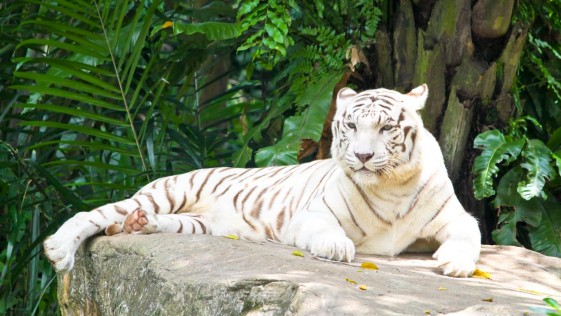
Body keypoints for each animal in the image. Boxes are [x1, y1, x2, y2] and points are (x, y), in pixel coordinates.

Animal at [44, 84, 482, 276]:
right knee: (95, 214)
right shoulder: (312, 213)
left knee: (141, 222)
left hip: (197, 224)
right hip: (167, 192)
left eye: (386, 127)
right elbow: (327, 230)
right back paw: (58, 249)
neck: (390, 186)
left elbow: (470, 234)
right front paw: (337, 246)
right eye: (351, 126)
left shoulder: (457, 216)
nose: (361, 156)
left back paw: (137, 226)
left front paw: (456, 263)